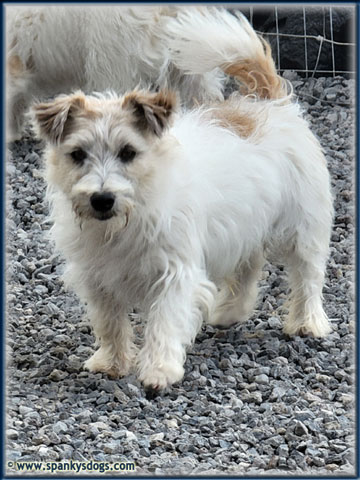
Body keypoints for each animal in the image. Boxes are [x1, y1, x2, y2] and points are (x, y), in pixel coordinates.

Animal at [31, 8, 332, 390]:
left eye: (128, 152)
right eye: (77, 154)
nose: (102, 199)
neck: (131, 215)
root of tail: (269, 100)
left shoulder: (175, 273)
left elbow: (165, 321)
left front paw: (159, 370)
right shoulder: (97, 277)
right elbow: (110, 321)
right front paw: (111, 362)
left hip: (303, 228)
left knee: (308, 275)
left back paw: (307, 322)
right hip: (245, 226)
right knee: (248, 268)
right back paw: (229, 312)